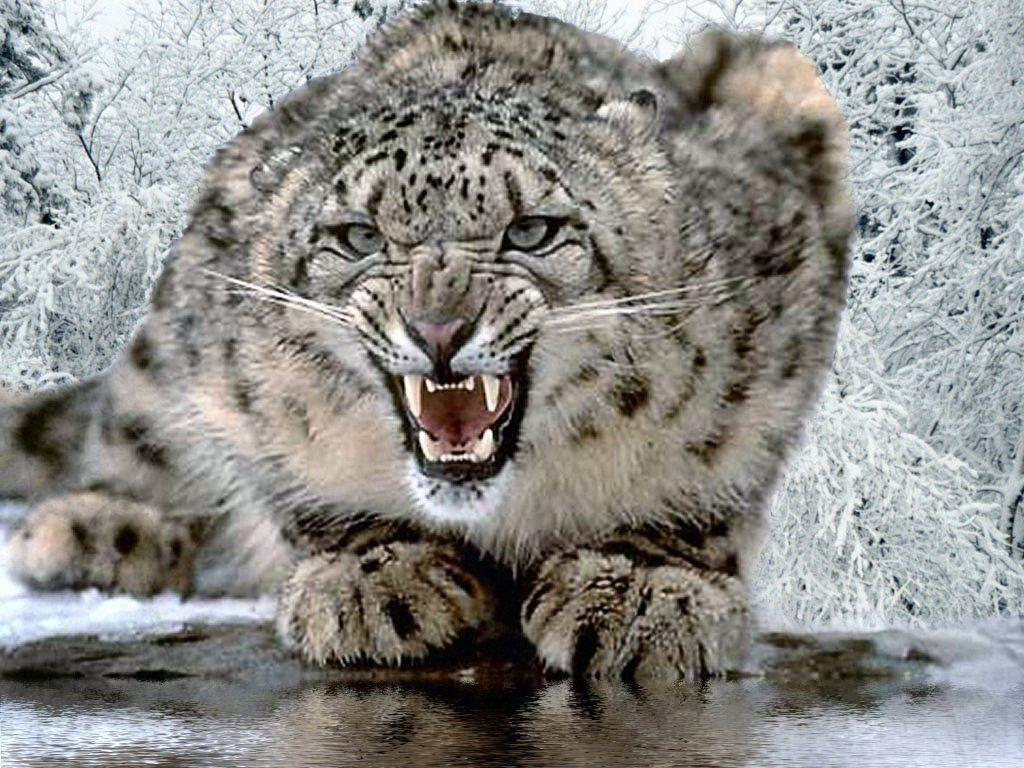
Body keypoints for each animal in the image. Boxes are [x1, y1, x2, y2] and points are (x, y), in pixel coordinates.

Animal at [0, 1, 851, 681]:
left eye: (532, 229)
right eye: (358, 236)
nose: (438, 326)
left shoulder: (774, 333)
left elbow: (717, 470)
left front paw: (639, 586)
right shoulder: (234, 372)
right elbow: (290, 480)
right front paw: (374, 579)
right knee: (133, 426)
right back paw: (101, 529)